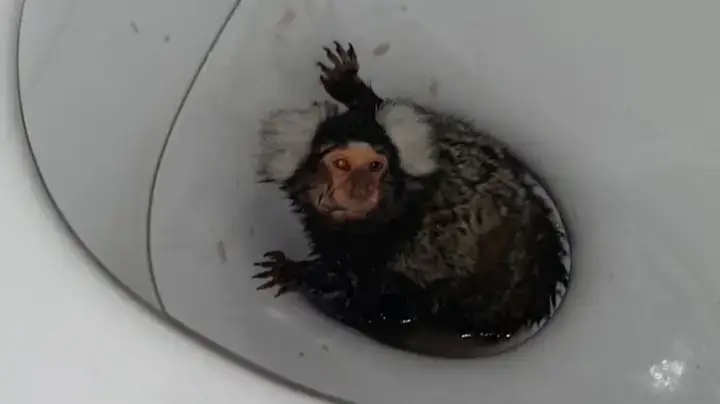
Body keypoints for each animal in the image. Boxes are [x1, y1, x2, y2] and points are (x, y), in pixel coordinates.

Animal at [253, 42, 571, 356]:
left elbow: (355, 290)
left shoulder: (396, 249)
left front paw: (295, 271)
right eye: (341, 164)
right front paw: (350, 87)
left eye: (375, 166)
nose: (360, 189)